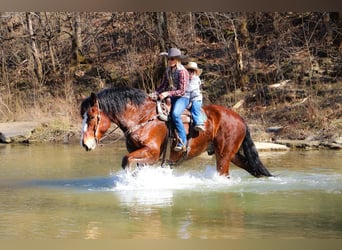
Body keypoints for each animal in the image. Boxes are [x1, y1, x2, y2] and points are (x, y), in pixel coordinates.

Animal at [80, 86, 272, 178]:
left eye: (92, 116)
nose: (85, 143)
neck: (142, 119)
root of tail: (240, 119)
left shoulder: (152, 153)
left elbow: (126, 160)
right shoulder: (141, 154)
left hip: (224, 155)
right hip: (232, 154)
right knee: (251, 168)